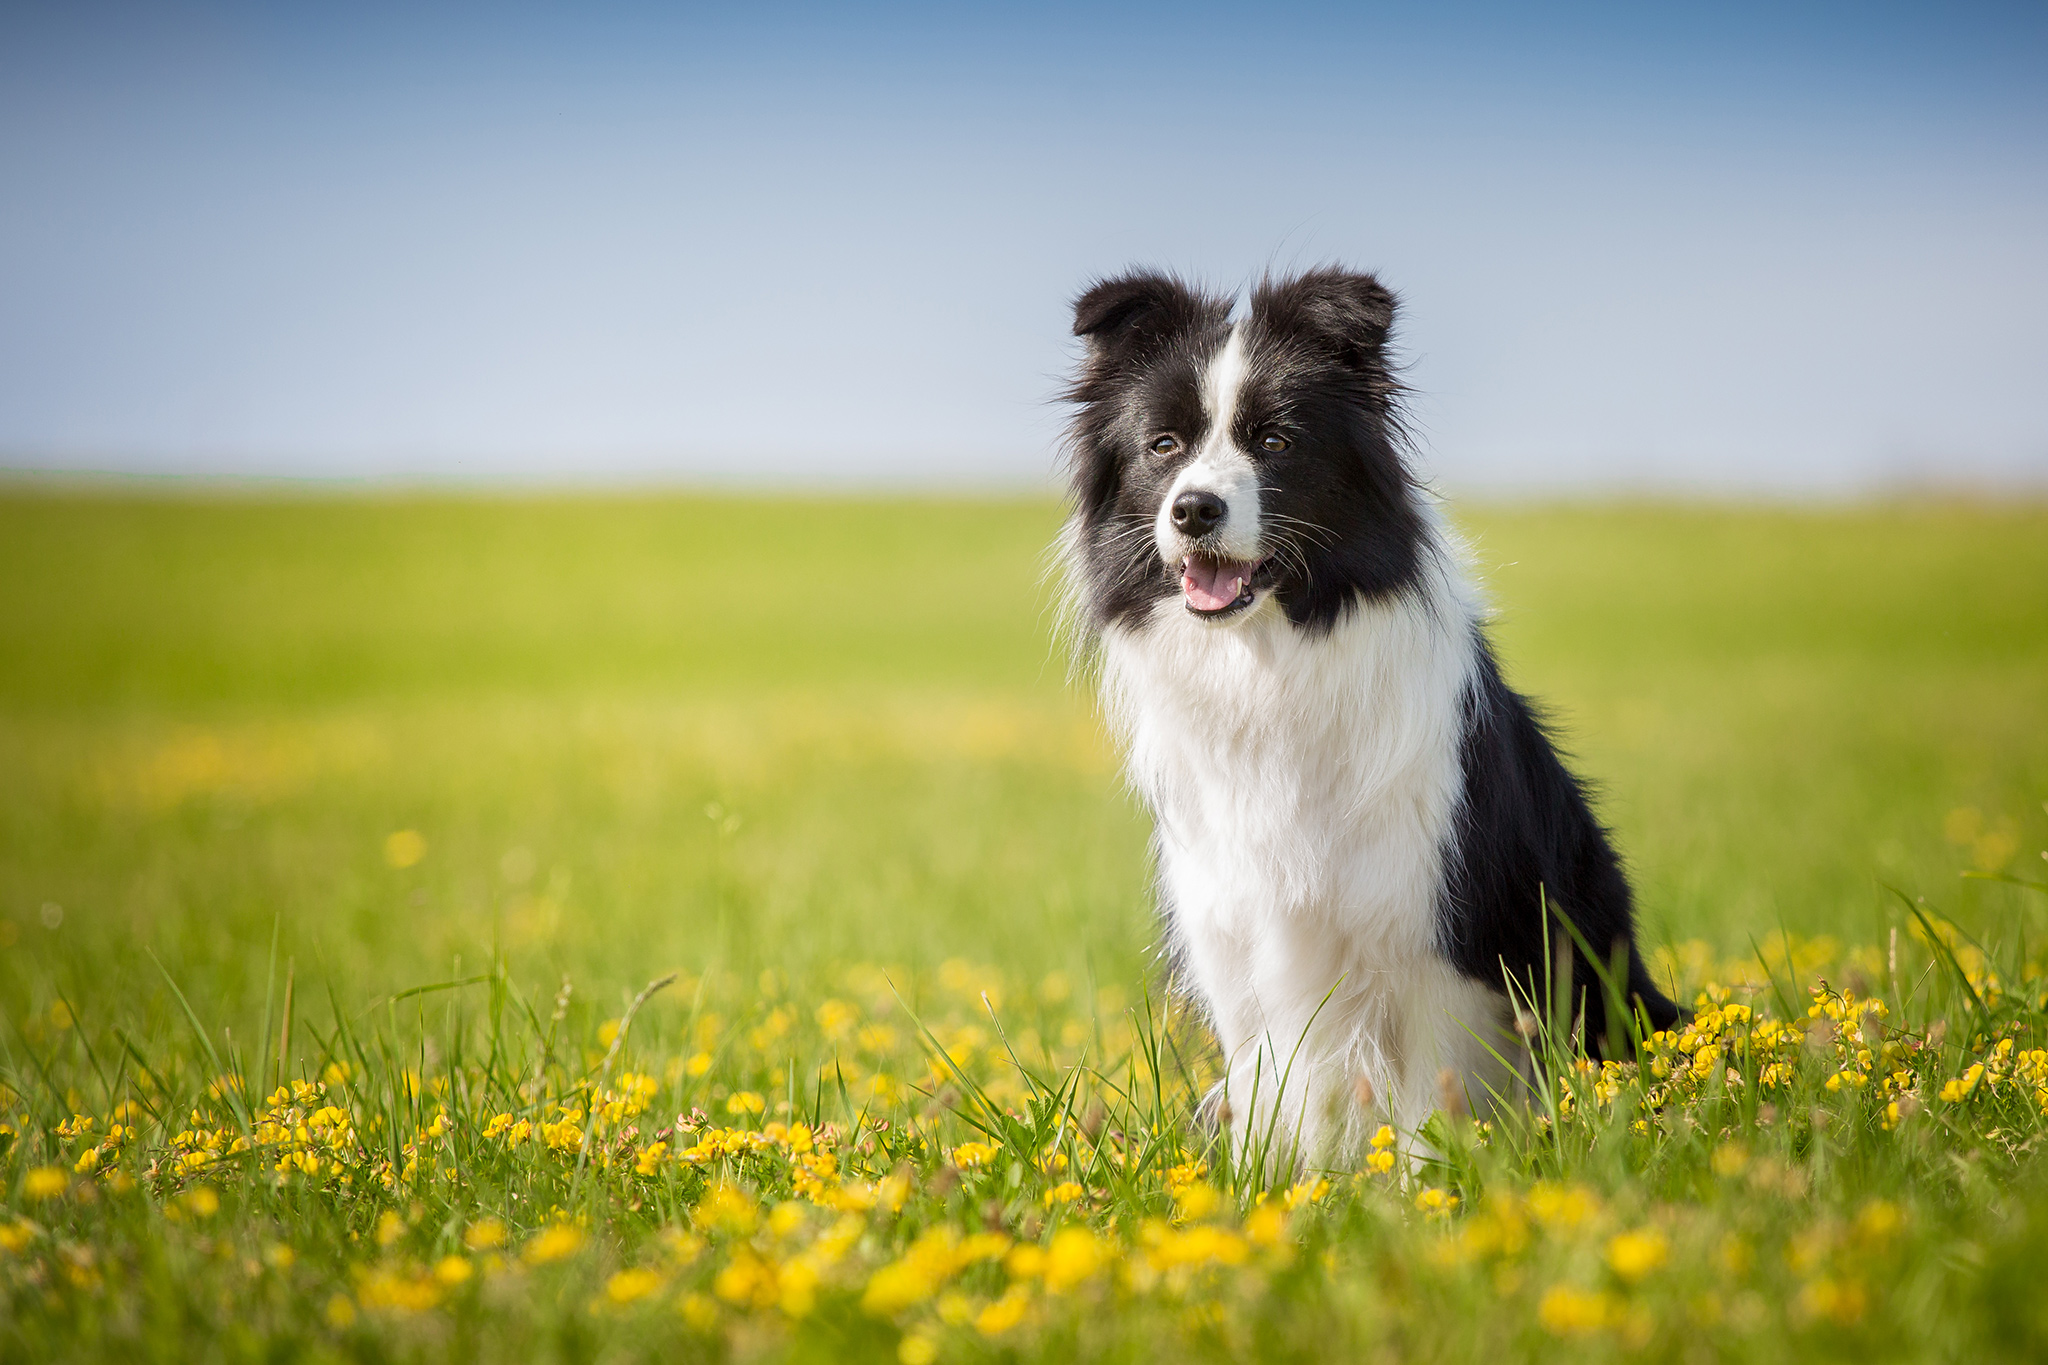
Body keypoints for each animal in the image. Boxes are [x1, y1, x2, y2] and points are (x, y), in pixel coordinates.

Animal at [1064, 266, 1671, 1162]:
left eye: (1275, 442)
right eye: (1164, 445)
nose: (1193, 509)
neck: (1269, 664)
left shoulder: (1437, 942)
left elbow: (1427, 1108)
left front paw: (1426, 1187)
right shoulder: (1233, 939)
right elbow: (1267, 1100)